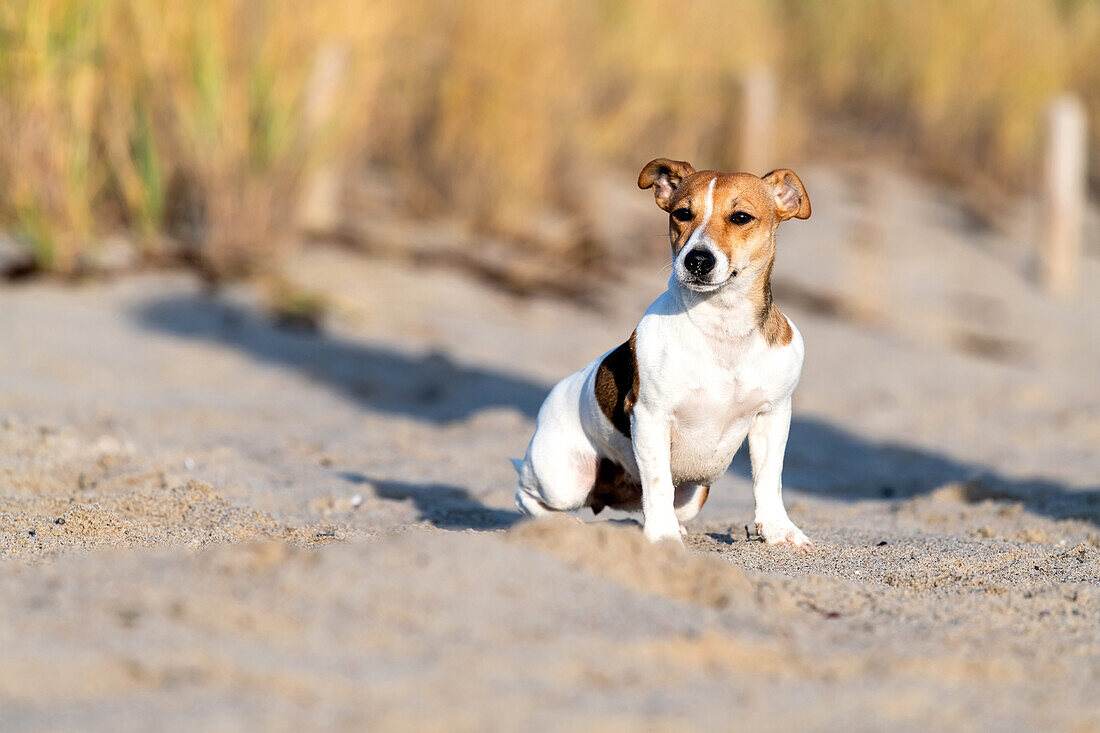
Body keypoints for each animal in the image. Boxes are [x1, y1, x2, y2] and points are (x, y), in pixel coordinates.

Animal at [510, 157, 814, 545]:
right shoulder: (651, 417)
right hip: (562, 481)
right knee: (527, 495)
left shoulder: (773, 416)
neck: (722, 324)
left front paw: (779, 531)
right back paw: (560, 525)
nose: (697, 260)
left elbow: (768, 481)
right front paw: (664, 539)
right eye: (682, 213)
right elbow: (658, 484)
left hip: (695, 494)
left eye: (741, 217)